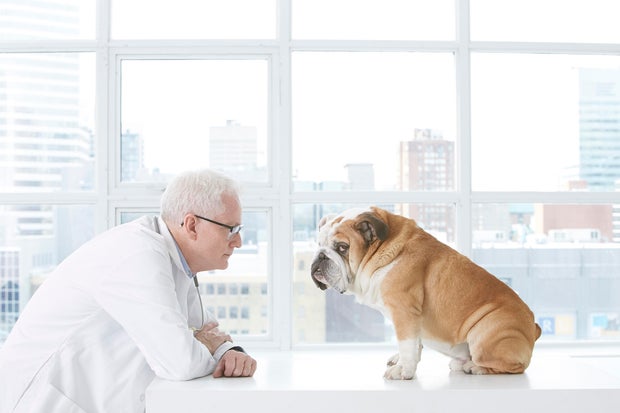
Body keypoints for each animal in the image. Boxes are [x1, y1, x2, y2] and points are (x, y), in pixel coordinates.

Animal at [312, 206, 540, 380]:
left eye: (342, 247)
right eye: (319, 244)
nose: (320, 256)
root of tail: (534, 328)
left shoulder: (403, 310)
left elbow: (406, 343)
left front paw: (404, 370)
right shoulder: (412, 318)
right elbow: (414, 343)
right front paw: (403, 361)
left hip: (485, 332)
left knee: (515, 367)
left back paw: (476, 367)